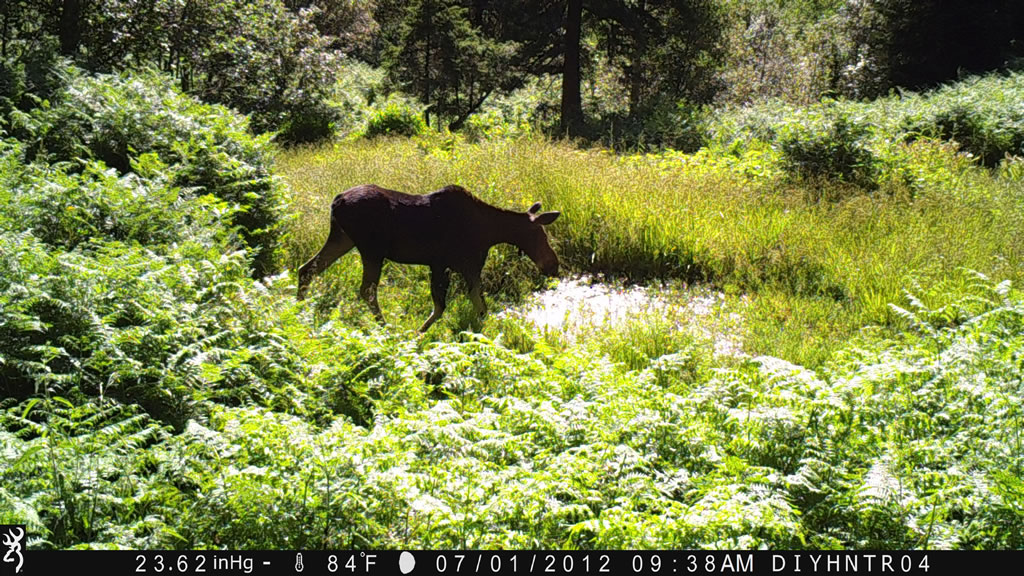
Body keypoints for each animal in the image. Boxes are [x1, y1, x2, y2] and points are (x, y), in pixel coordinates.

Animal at [297, 184, 561, 332]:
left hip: (342, 239)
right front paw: (419, 333)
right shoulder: (450, 264)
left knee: (306, 269)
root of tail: (336, 201)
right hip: (371, 249)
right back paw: (384, 327)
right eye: (541, 234)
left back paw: (299, 310)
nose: (554, 265)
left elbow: (475, 306)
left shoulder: (458, 267)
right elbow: (447, 306)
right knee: (367, 290)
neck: (491, 233)